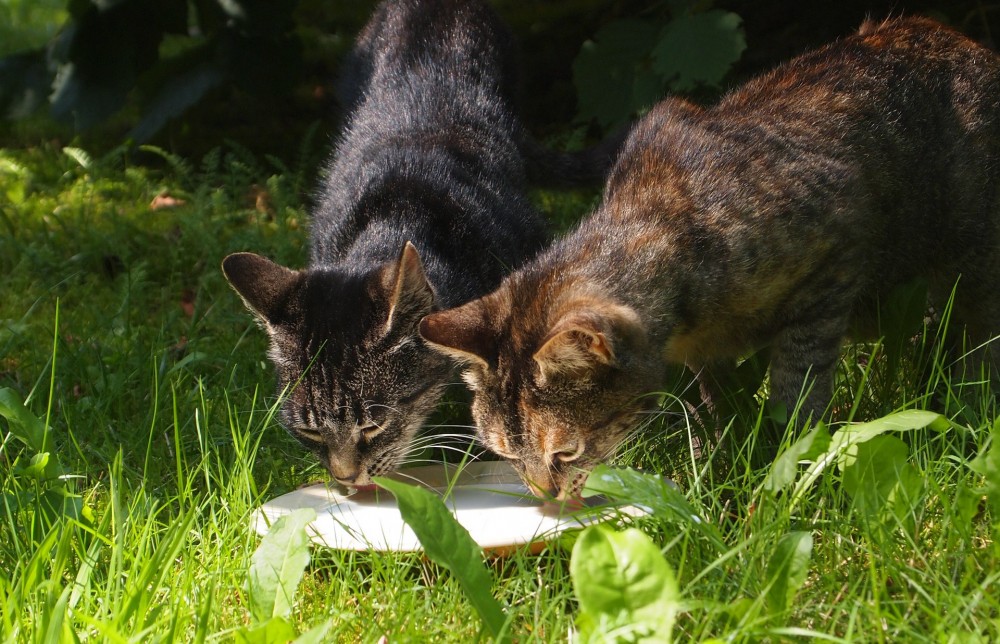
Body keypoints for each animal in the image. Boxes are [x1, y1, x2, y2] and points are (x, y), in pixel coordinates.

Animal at [418, 15, 1000, 498]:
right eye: (505, 453)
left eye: (565, 451)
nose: (544, 498)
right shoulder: (704, 355)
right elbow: (714, 407)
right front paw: (716, 459)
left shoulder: (831, 269)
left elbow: (798, 385)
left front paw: (789, 460)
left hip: (972, 259)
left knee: (977, 337)